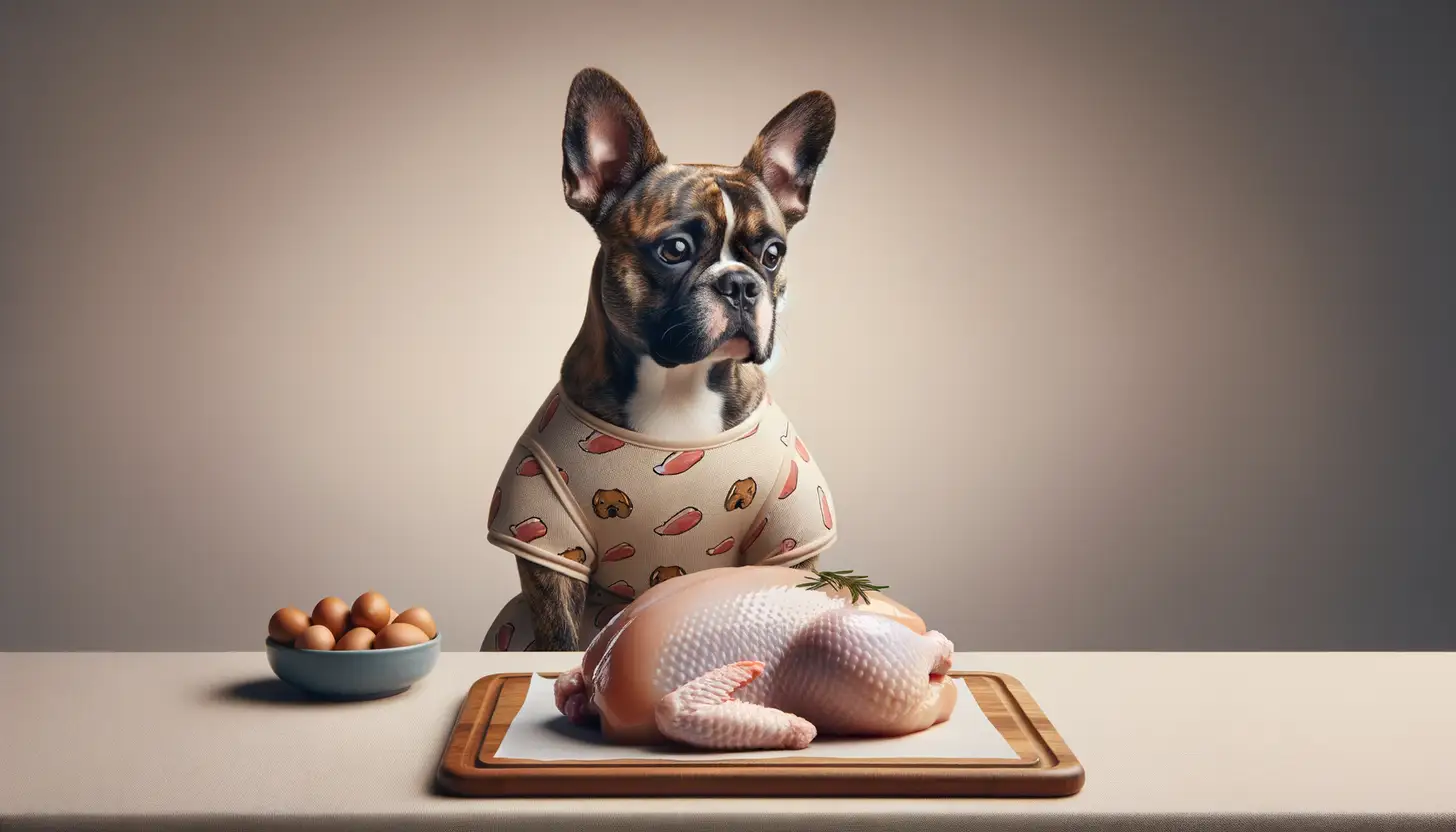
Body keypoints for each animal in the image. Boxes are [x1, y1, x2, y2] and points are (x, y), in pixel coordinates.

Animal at [480, 68, 838, 655]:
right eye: (675, 250)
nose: (741, 284)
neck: (680, 386)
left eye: (772, 255)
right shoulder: (549, 544)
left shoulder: (790, 540)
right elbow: (560, 639)